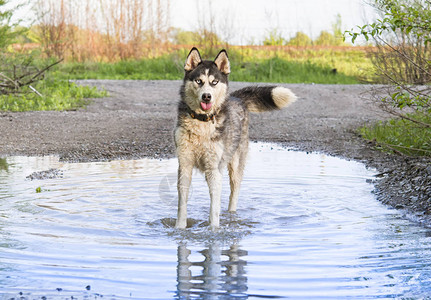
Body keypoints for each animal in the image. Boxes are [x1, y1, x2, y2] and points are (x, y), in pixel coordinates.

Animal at [176, 48, 296, 229]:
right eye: (198, 81)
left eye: (214, 82)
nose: (206, 96)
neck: (202, 122)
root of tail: (236, 98)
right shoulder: (184, 166)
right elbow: (182, 205)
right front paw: (179, 229)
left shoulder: (213, 171)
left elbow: (214, 209)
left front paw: (213, 230)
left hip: (236, 165)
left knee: (234, 193)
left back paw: (232, 215)